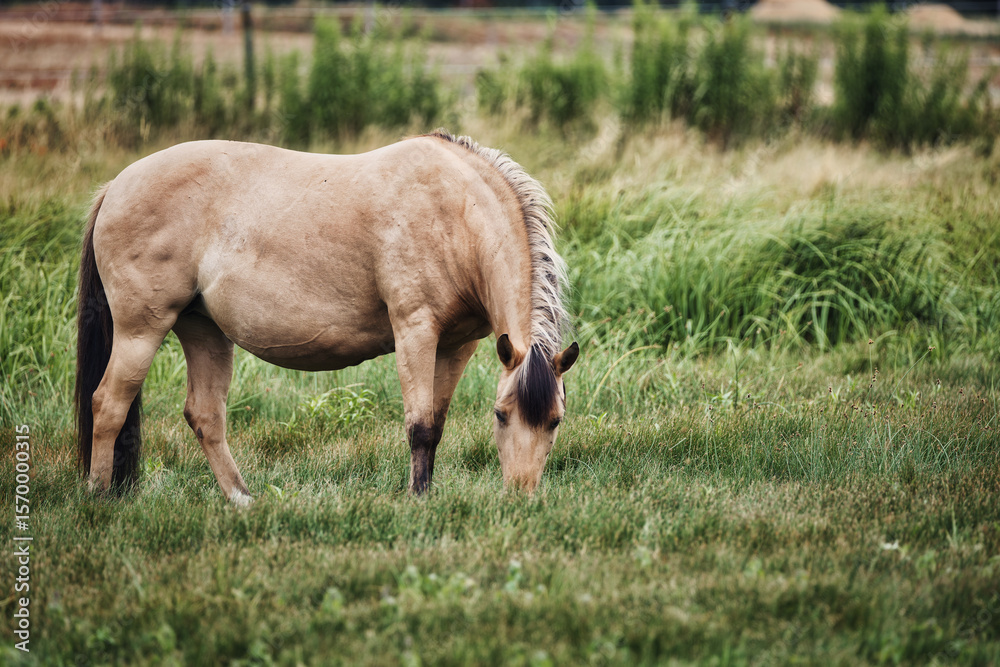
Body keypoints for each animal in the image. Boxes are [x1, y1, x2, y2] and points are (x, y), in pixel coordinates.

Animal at [74, 130, 579, 503]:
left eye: (555, 420)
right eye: (500, 415)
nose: (520, 497)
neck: (454, 212)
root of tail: (115, 187)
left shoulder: (457, 345)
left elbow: (435, 425)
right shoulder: (415, 331)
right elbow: (418, 427)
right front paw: (416, 501)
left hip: (204, 330)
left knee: (205, 415)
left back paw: (243, 499)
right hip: (141, 330)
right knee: (108, 405)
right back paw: (98, 495)